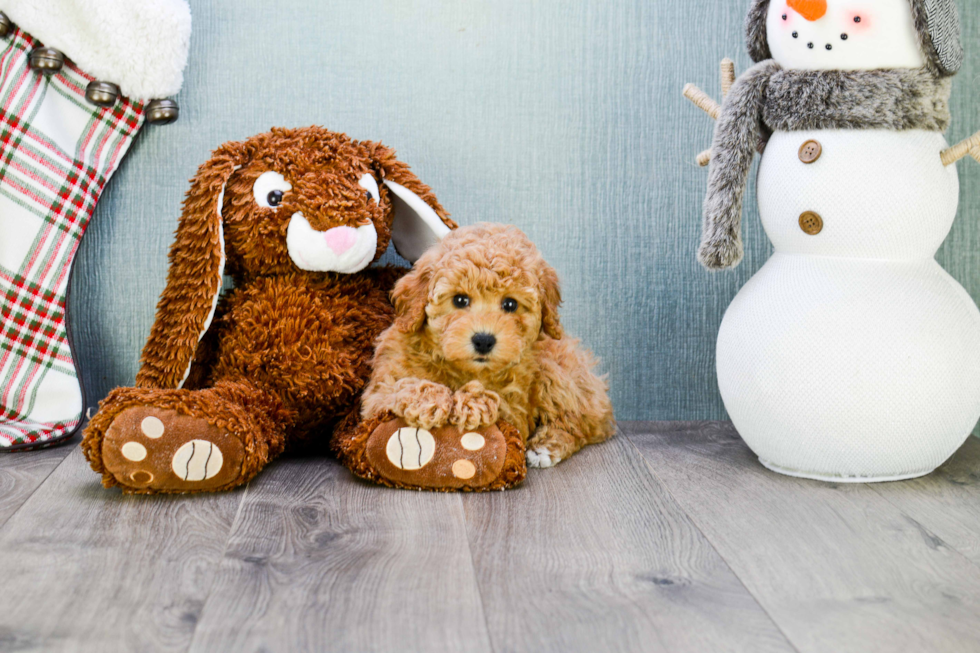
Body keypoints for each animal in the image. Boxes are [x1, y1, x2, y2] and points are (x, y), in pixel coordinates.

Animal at [364, 222, 616, 466]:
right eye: (460, 300)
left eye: (510, 304)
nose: (484, 340)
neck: (461, 368)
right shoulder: (377, 394)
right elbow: (396, 388)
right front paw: (428, 399)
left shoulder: (516, 411)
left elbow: (500, 403)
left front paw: (473, 402)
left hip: (557, 372)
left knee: (580, 424)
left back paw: (545, 447)